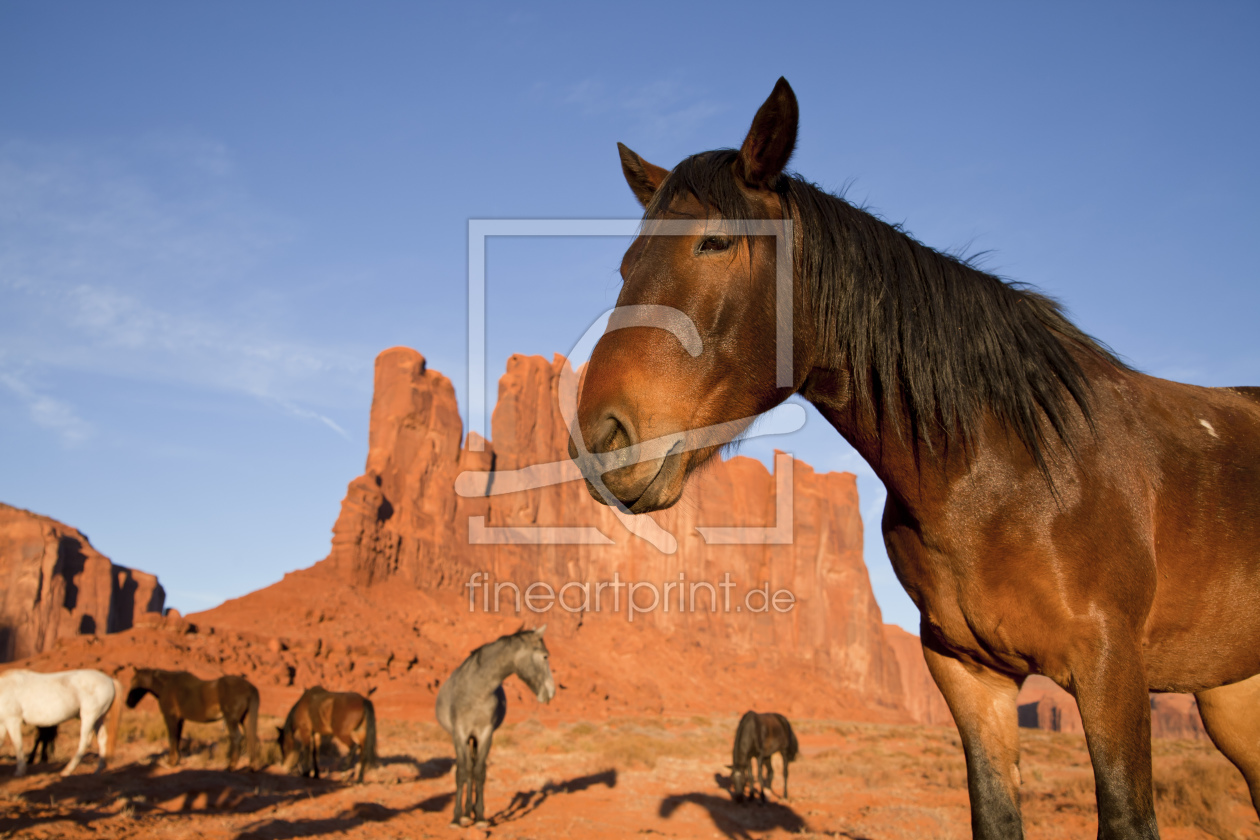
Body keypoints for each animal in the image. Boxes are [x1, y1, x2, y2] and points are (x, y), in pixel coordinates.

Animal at [126, 664, 259, 770]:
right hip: (245, 719)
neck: (166, 685)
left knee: (236, 737)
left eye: (133, 682)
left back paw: (231, 767)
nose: (128, 703)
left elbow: (172, 738)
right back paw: (252, 767)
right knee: (250, 736)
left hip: (231, 719)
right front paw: (176, 760)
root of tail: (250, 687)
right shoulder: (180, 720)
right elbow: (177, 738)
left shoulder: (170, 717)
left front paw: (170, 762)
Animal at [435, 624, 554, 826]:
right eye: (545, 656)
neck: (476, 691)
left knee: (473, 769)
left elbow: (479, 772)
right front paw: (456, 817)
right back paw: (464, 814)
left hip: (475, 739)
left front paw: (480, 817)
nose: (551, 691)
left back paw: (469, 812)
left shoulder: (485, 734)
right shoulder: (460, 735)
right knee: (467, 770)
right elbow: (461, 773)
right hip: (467, 739)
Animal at [572, 78, 1260, 840]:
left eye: (715, 242)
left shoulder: (1112, 672)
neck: (1003, 471)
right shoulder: (970, 675)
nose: (601, 437)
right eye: (626, 265)